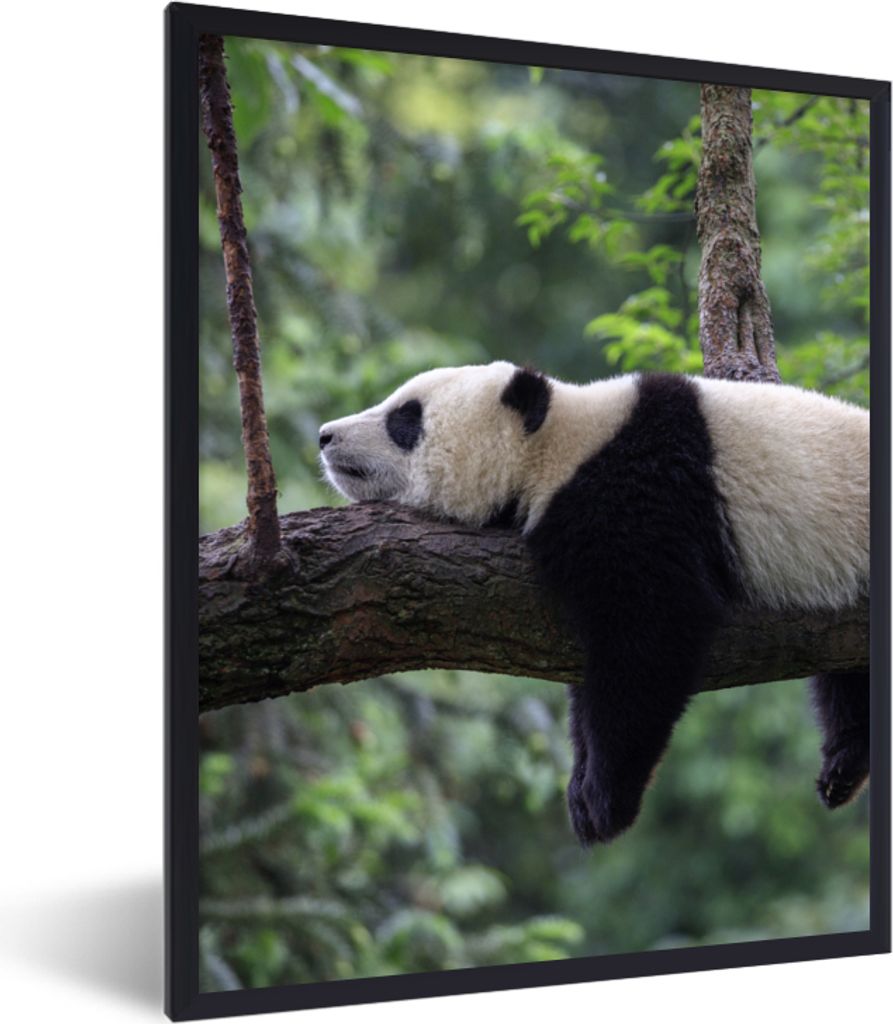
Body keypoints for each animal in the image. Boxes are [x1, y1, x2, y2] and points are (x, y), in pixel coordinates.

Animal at [319, 362, 870, 844]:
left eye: (405, 419)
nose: (325, 435)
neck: (559, 444)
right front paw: (582, 787)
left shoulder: (641, 493)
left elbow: (651, 635)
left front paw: (605, 801)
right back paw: (844, 767)